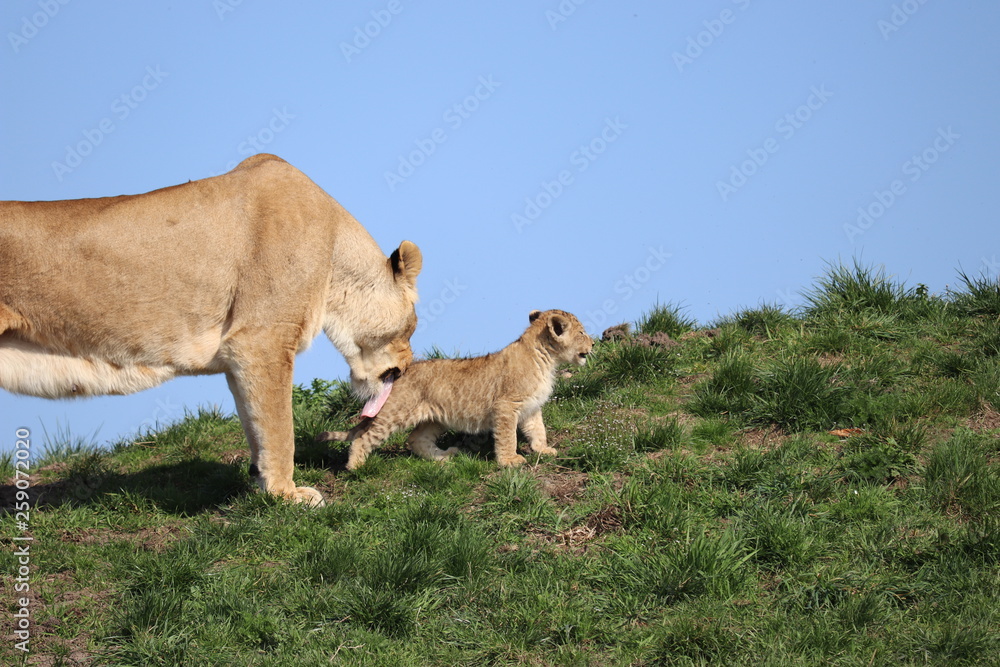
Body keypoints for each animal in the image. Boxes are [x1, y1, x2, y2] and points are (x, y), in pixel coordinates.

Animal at [0, 154, 422, 506]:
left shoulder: (239, 354)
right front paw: (287, 494)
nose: (407, 366)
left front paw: (263, 484)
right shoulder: (262, 340)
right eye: (412, 328)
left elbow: (256, 423)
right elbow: (280, 426)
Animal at [316, 309, 593, 470]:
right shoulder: (506, 406)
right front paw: (509, 461)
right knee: (364, 438)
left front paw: (543, 450)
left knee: (415, 439)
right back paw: (356, 467)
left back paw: (444, 457)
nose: (592, 343)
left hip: (434, 419)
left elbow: (538, 430)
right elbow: (507, 437)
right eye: (581, 332)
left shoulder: (531, 407)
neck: (546, 359)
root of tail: (395, 375)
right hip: (395, 413)